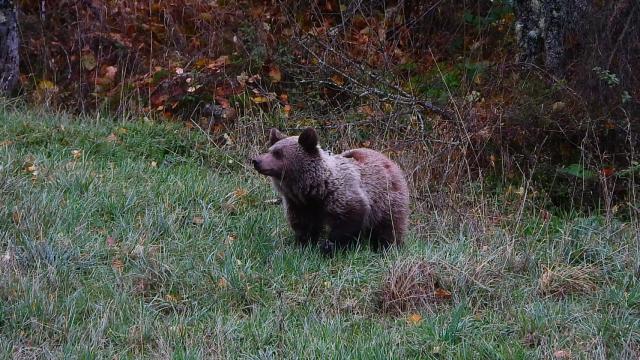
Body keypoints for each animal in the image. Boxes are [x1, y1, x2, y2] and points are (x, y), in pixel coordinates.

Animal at [251, 126, 410, 253]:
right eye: (270, 150)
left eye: (278, 153)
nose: (256, 161)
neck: (313, 189)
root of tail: (388, 160)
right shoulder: (300, 204)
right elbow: (303, 225)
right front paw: (304, 243)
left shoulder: (342, 196)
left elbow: (348, 221)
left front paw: (329, 245)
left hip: (387, 199)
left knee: (389, 226)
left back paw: (386, 247)